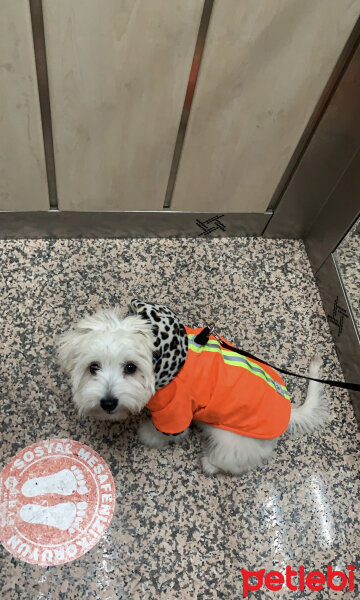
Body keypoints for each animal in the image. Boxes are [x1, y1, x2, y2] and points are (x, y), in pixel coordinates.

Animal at [58, 302, 326, 476]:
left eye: (131, 367)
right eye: (93, 367)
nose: (108, 403)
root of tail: (289, 412)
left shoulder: (174, 411)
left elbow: (164, 432)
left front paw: (146, 433)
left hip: (230, 440)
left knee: (238, 461)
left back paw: (210, 464)